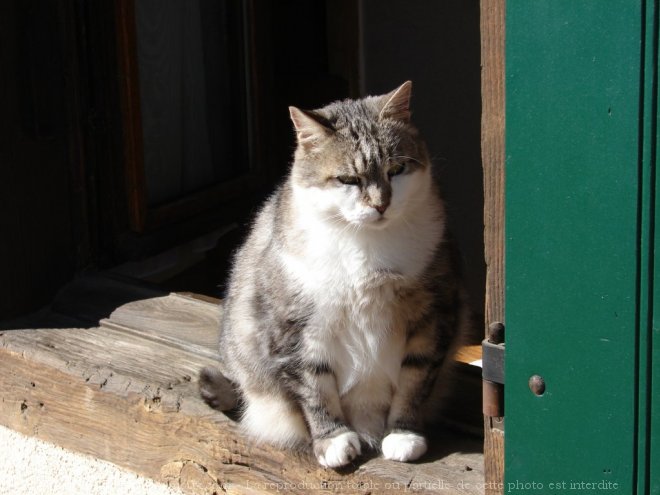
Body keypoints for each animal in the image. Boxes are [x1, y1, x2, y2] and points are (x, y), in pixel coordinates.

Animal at [199, 81, 472, 468]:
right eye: (348, 180)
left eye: (397, 169)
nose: (381, 204)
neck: (365, 245)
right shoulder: (296, 328)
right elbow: (315, 387)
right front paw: (333, 441)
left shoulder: (434, 313)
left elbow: (415, 379)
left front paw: (403, 434)